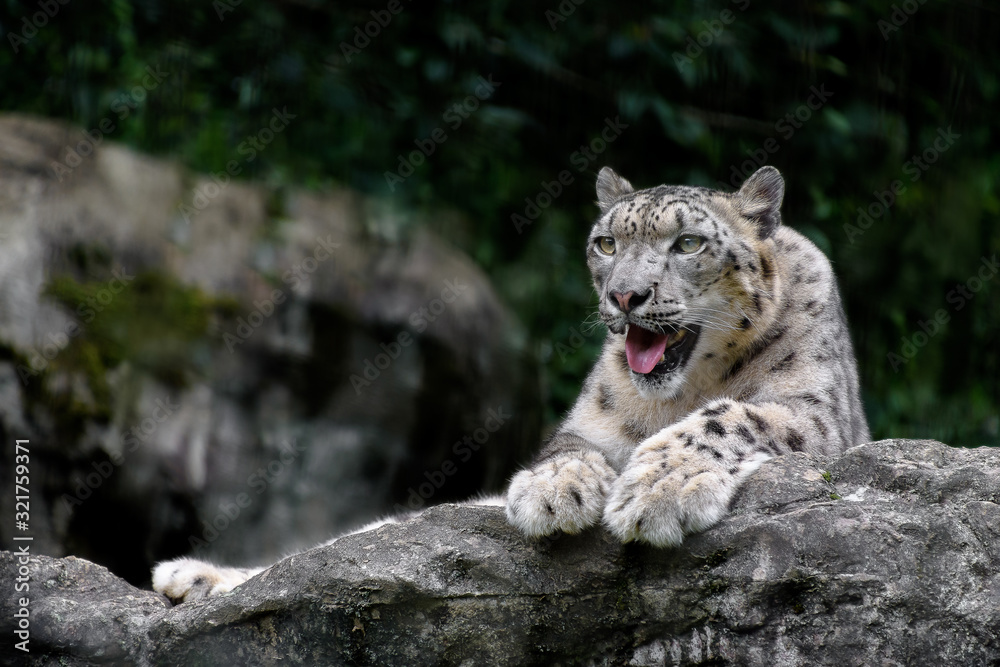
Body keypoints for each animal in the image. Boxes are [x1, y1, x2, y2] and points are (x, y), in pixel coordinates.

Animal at [152, 165, 869, 603]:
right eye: (606, 243)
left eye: (689, 243)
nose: (625, 295)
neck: (685, 386)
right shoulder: (593, 422)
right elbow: (568, 447)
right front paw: (555, 493)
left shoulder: (813, 411)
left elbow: (732, 416)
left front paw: (657, 488)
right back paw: (191, 576)